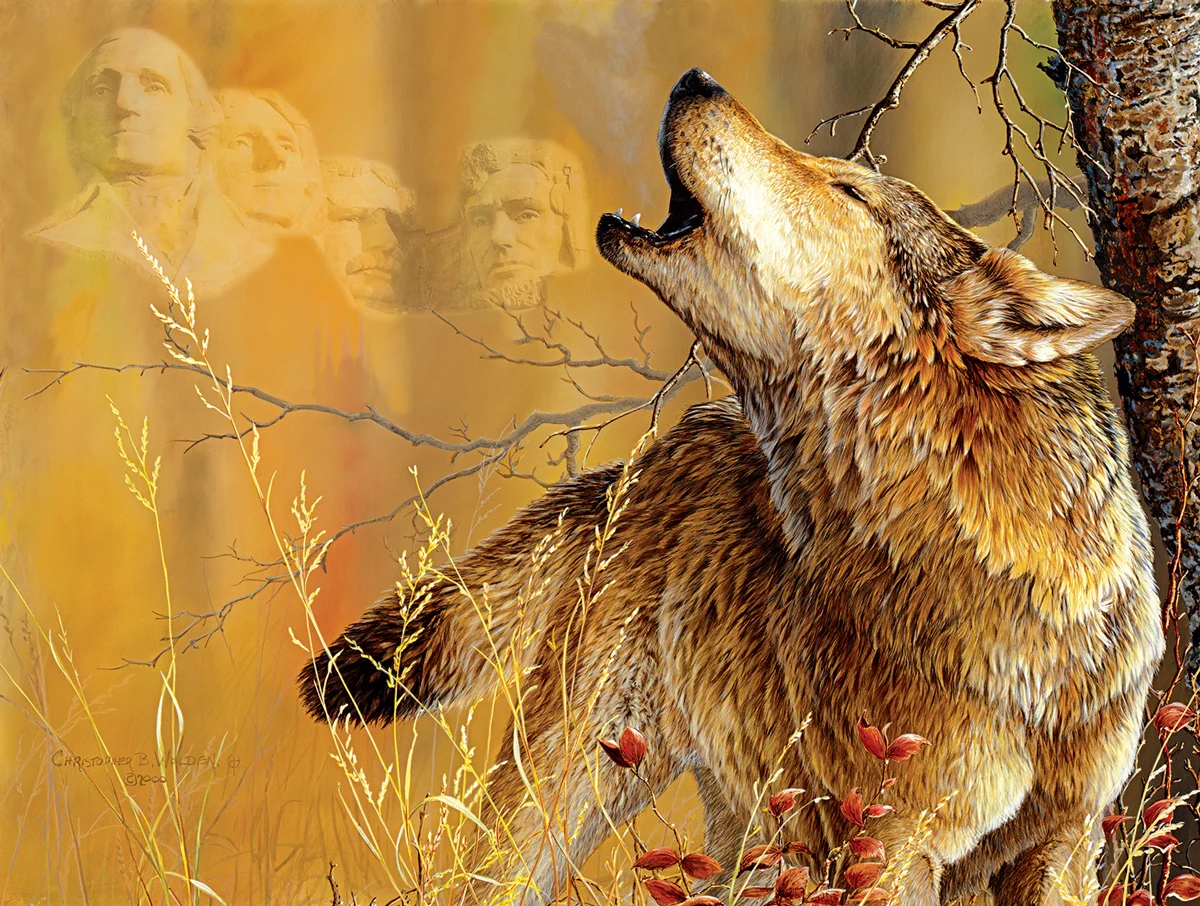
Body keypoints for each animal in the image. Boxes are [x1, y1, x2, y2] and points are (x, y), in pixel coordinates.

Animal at [300, 70, 1162, 906]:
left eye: (849, 191)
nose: (693, 79)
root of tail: (656, 451)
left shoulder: (1064, 840)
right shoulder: (885, 843)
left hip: (751, 832)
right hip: (572, 790)